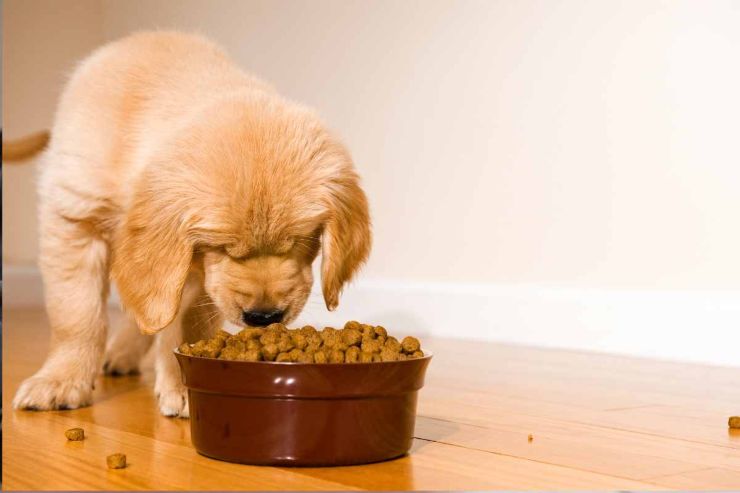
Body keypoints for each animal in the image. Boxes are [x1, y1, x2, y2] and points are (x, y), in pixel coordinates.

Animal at [15, 30, 376, 416]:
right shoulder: (74, 216)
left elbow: (185, 324)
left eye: (300, 241)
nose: (264, 317)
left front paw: (185, 383)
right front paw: (60, 381)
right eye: (222, 247)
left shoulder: (197, 274)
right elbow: (76, 314)